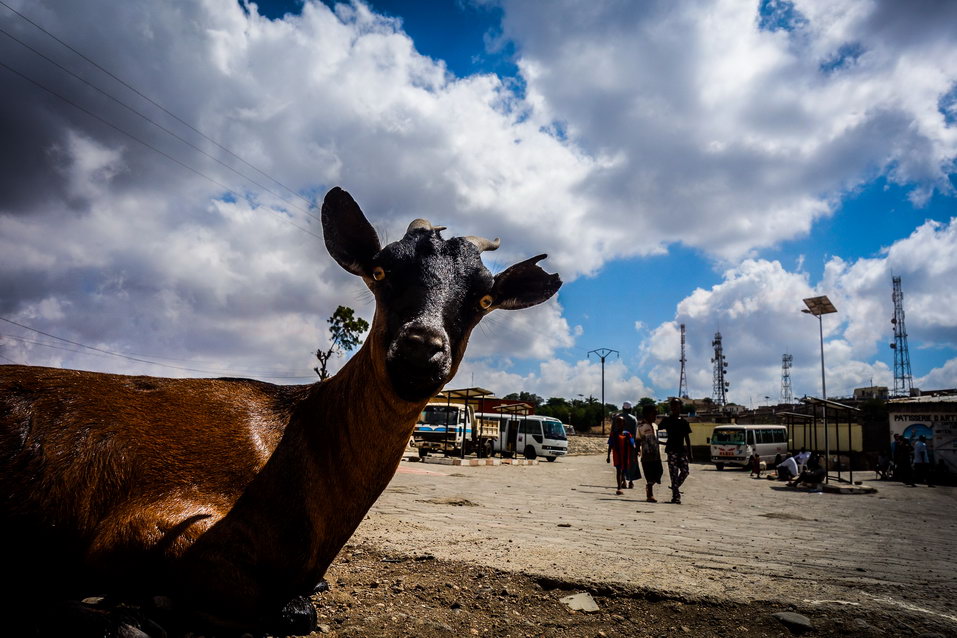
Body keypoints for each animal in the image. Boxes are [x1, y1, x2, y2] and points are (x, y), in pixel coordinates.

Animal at [0, 188, 560, 636]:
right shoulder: (143, 530)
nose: (421, 348)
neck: (302, 441)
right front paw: (140, 606)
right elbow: (290, 609)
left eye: (483, 298)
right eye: (380, 271)